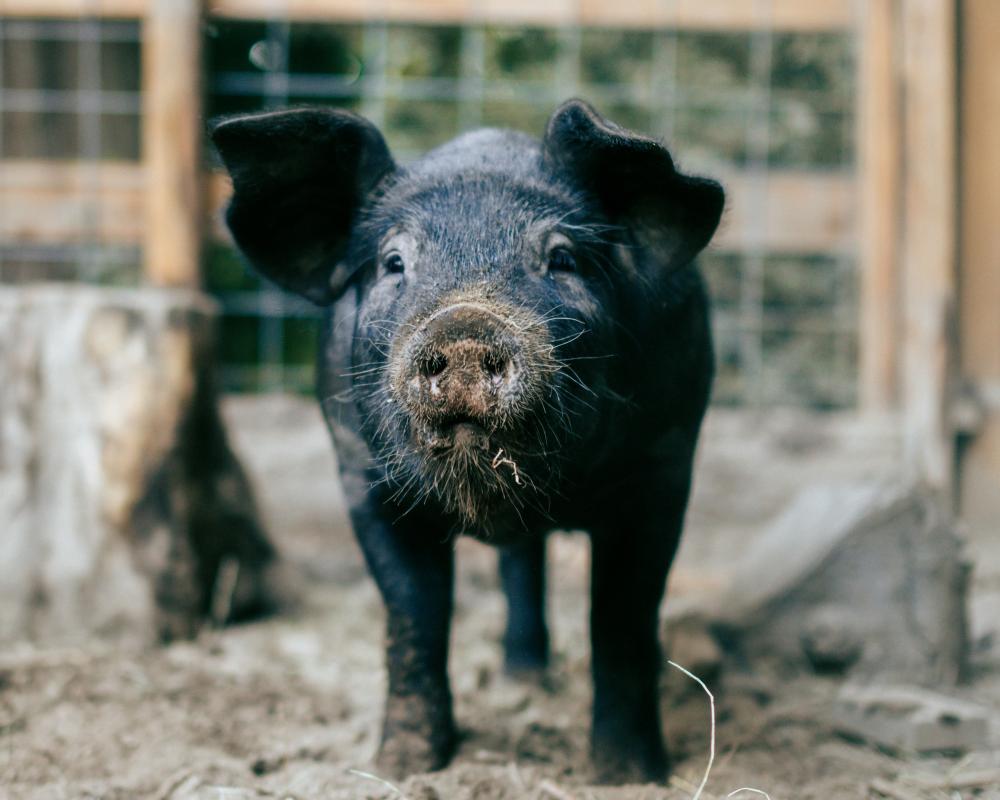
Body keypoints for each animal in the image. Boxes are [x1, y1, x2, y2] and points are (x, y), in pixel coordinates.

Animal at [211, 99, 723, 784]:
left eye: (561, 259)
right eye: (395, 262)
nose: (464, 326)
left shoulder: (662, 467)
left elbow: (622, 623)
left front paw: (629, 777)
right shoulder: (362, 478)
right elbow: (412, 618)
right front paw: (402, 767)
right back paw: (520, 683)